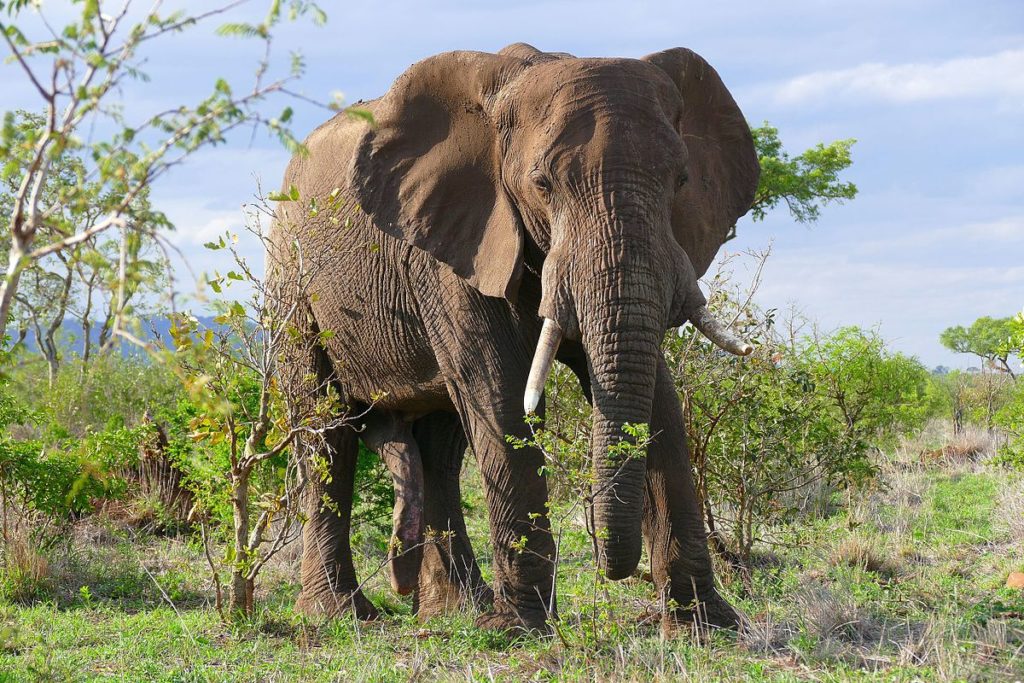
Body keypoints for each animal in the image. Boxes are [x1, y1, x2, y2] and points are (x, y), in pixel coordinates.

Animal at [272, 41, 761, 630]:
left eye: (682, 181)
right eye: (543, 184)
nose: (614, 570)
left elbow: (659, 399)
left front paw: (708, 626)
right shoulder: (456, 246)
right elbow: (503, 394)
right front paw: (519, 629)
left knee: (441, 446)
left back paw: (454, 611)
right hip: (293, 280)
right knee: (326, 429)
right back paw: (340, 615)